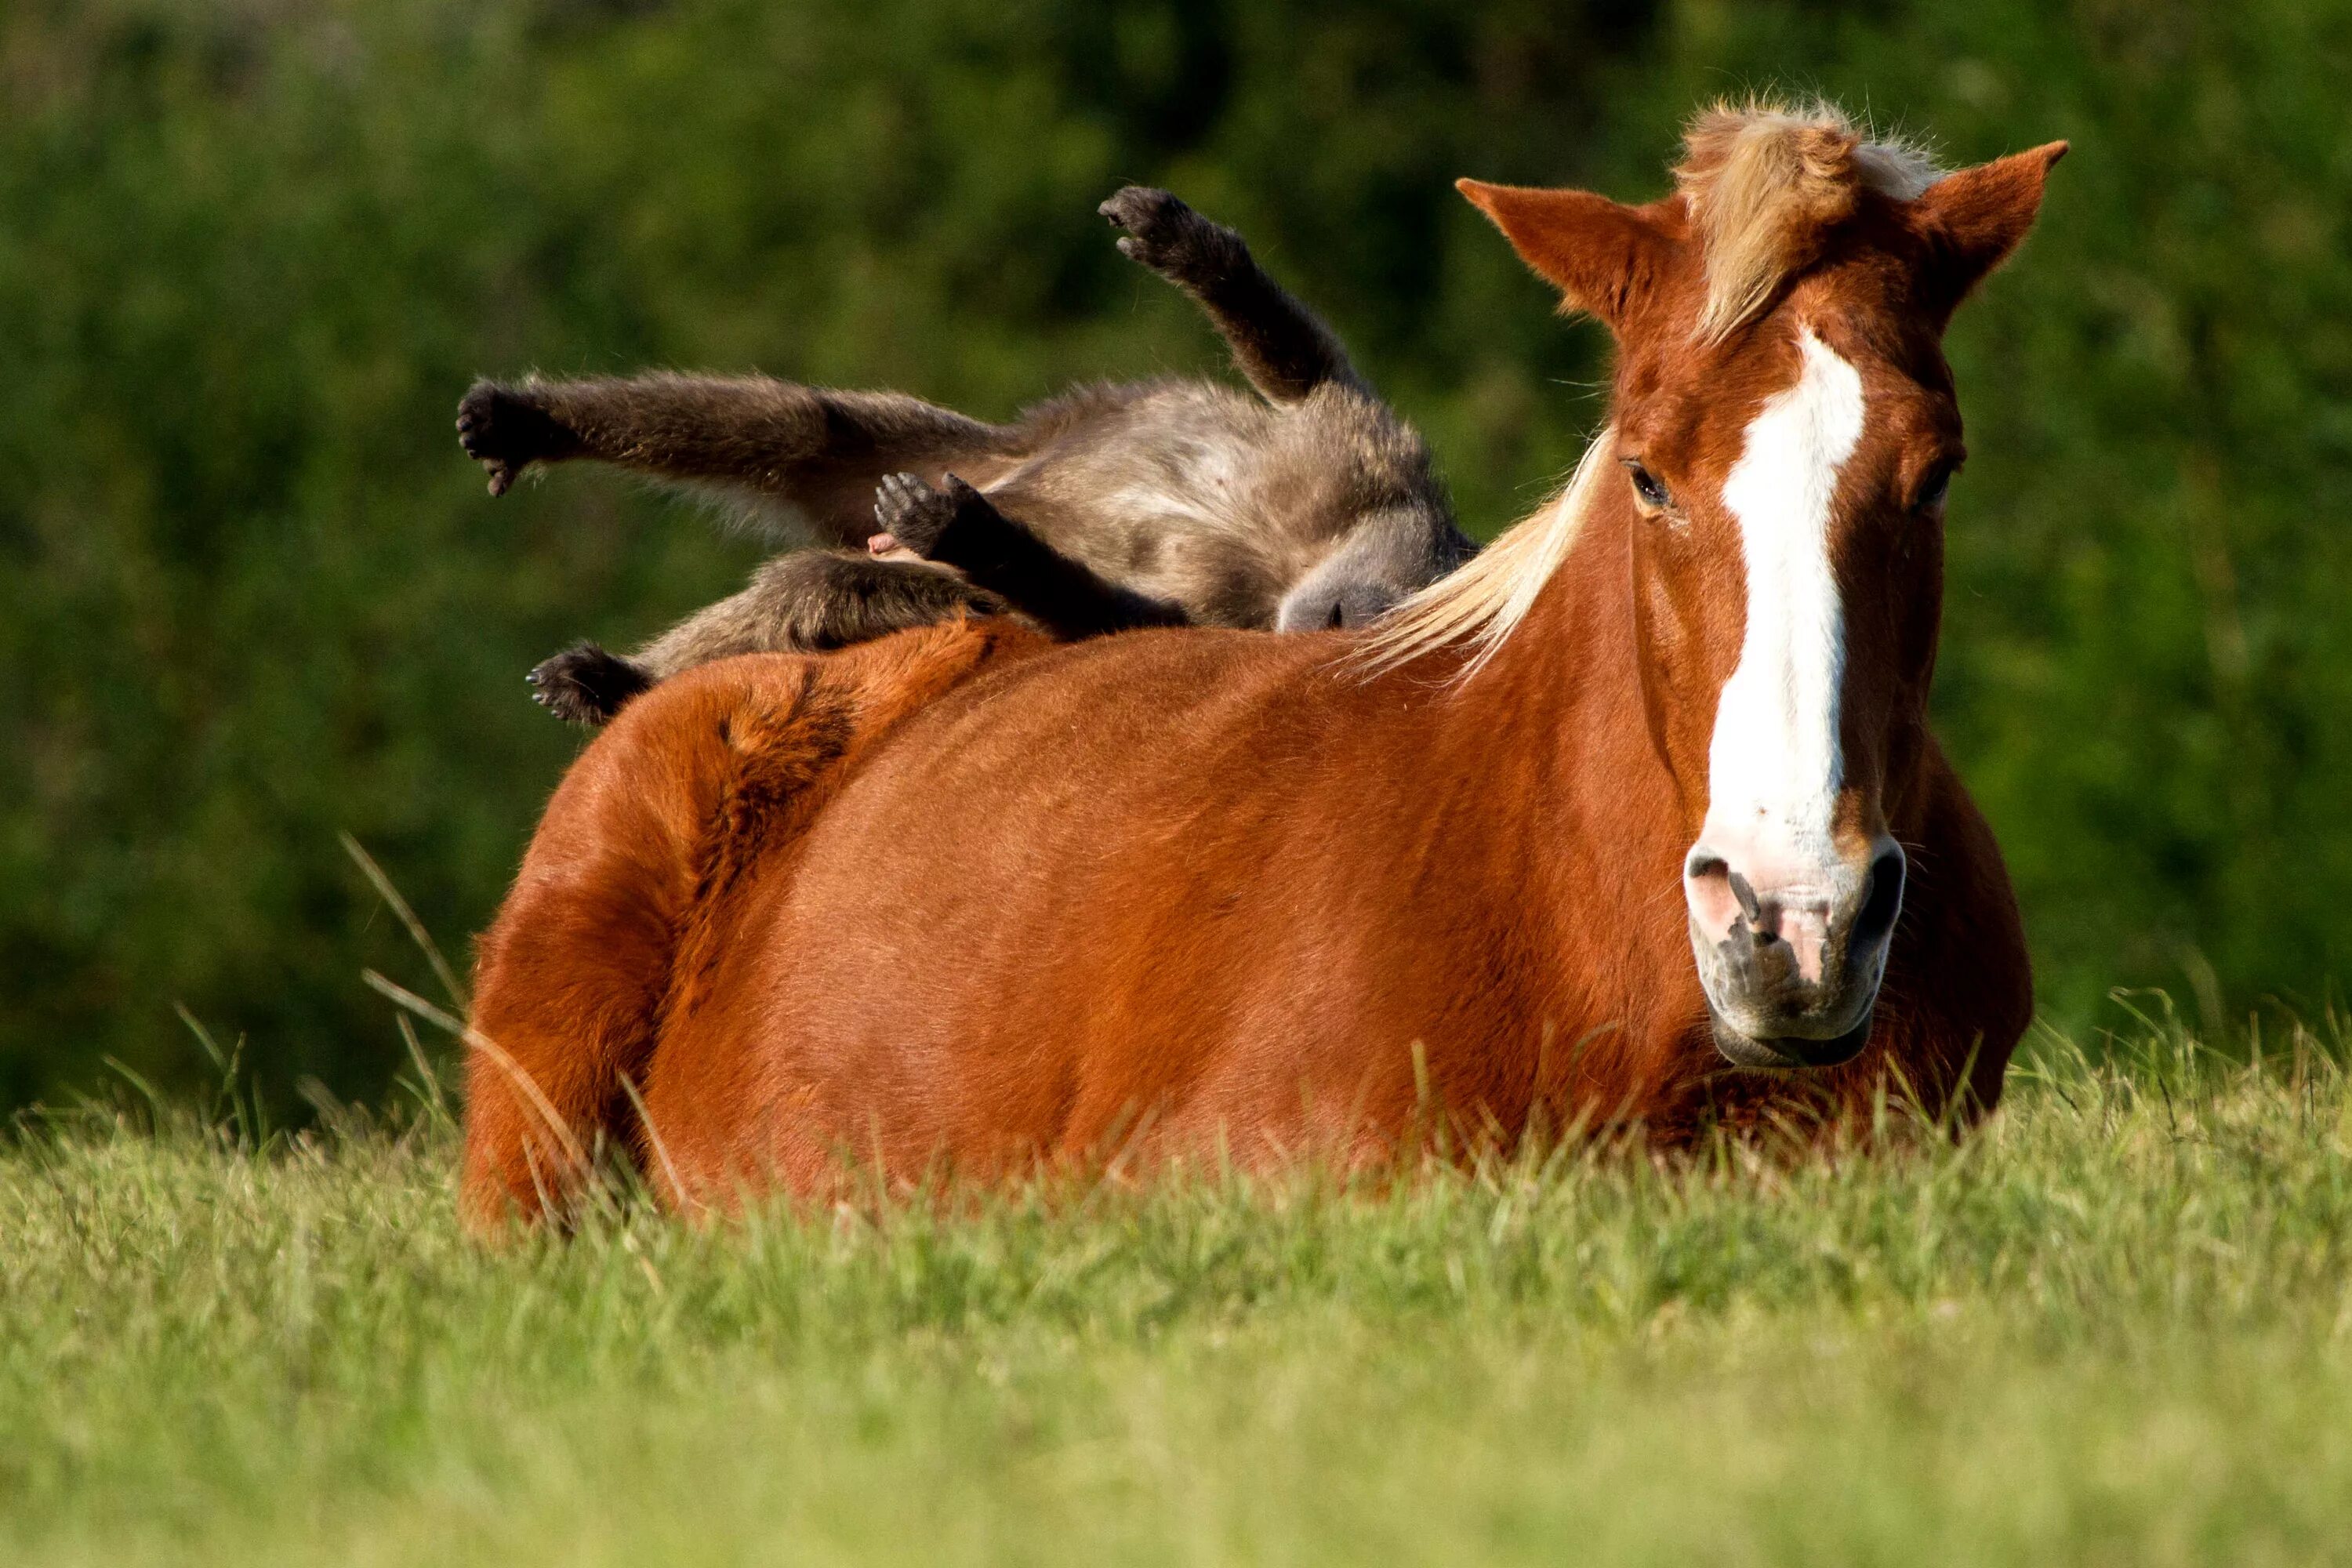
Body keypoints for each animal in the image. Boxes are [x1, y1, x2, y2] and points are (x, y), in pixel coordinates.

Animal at [456, 187, 1468, 724]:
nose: (1338, 623)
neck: (1297, 554)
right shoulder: (1362, 448)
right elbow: (1296, 364)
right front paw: (1183, 243)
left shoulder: (1229, 623)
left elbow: (1123, 617)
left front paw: (971, 532)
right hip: (989, 446)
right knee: (800, 427)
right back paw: (528, 426)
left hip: (924, 562)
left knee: (819, 583)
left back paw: (620, 682)